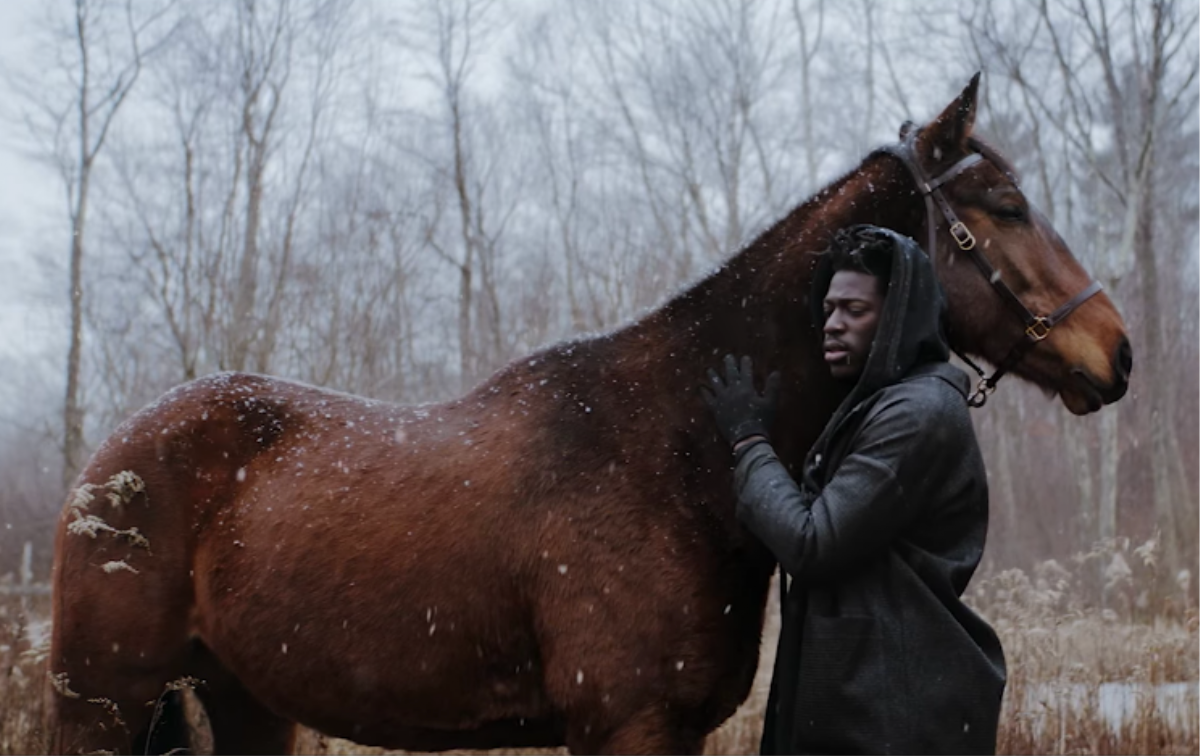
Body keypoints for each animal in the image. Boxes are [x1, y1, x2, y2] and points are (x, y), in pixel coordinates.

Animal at [49, 75, 1132, 756]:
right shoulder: (626, 724)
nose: (1116, 351)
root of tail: (110, 460)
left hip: (246, 702)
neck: (672, 446)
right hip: (103, 704)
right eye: (1004, 206)